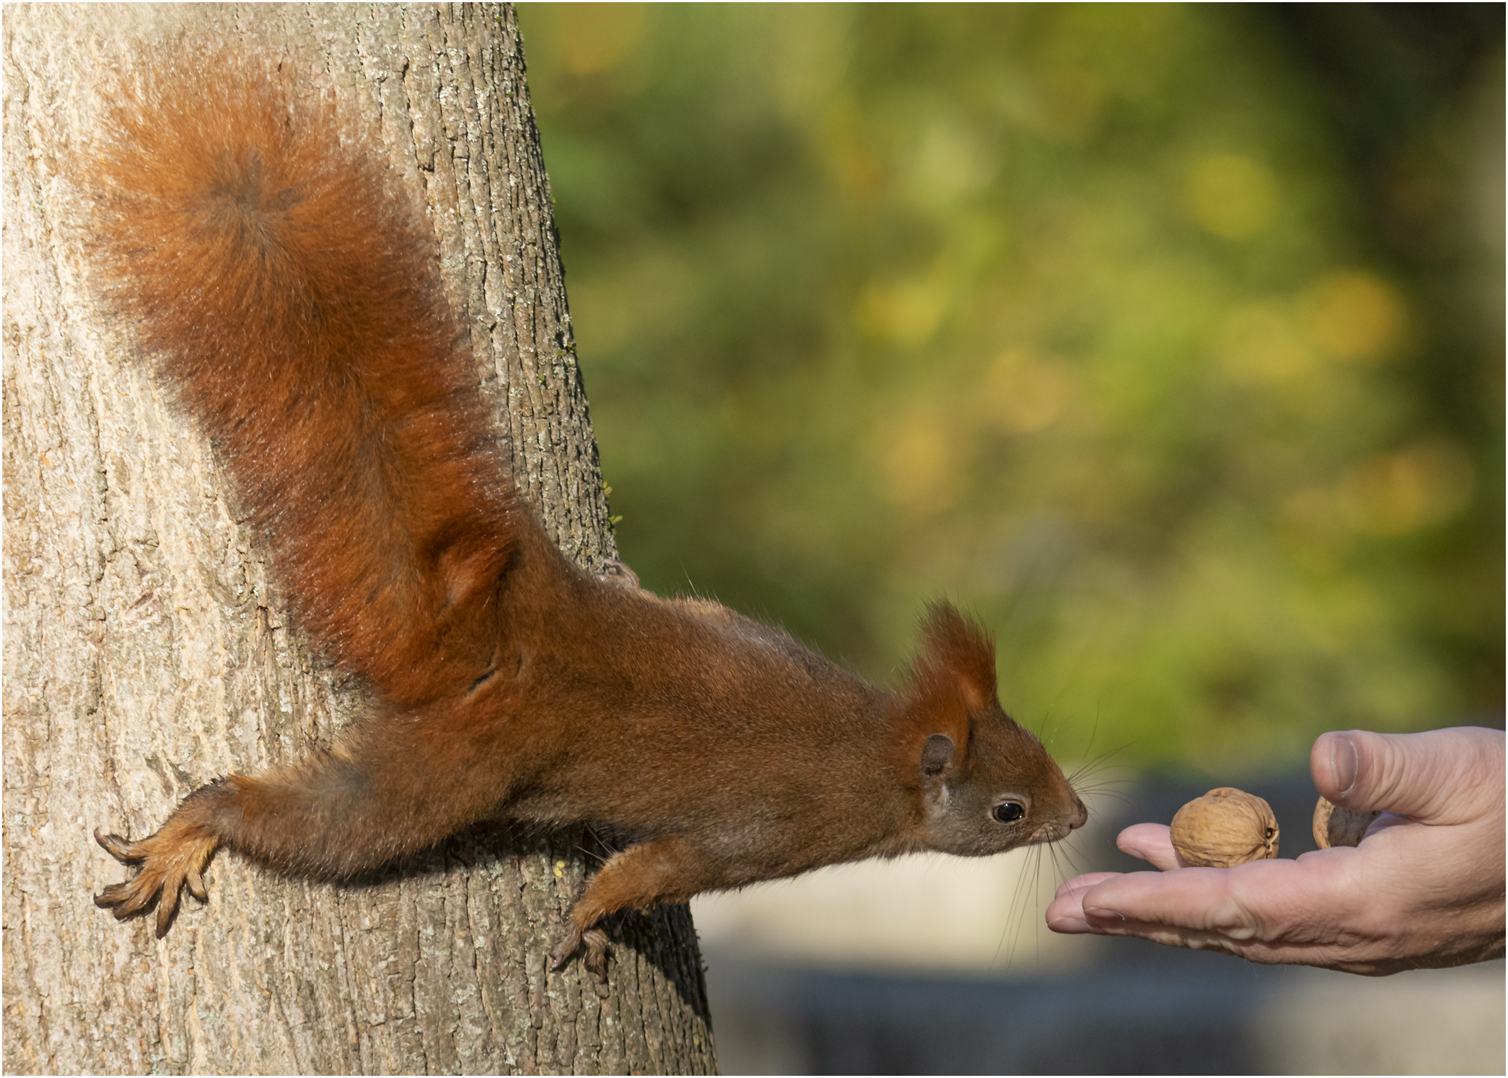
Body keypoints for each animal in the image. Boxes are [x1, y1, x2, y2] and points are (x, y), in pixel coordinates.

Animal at [88, 63, 1085, 983]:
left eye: (1040, 747)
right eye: (1009, 809)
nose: (1076, 814)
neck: (886, 746)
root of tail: (497, 621)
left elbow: (708, 615)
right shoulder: (782, 833)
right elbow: (654, 867)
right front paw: (593, 915)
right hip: (445, 772)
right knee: (326, 825)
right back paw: (193, 828)